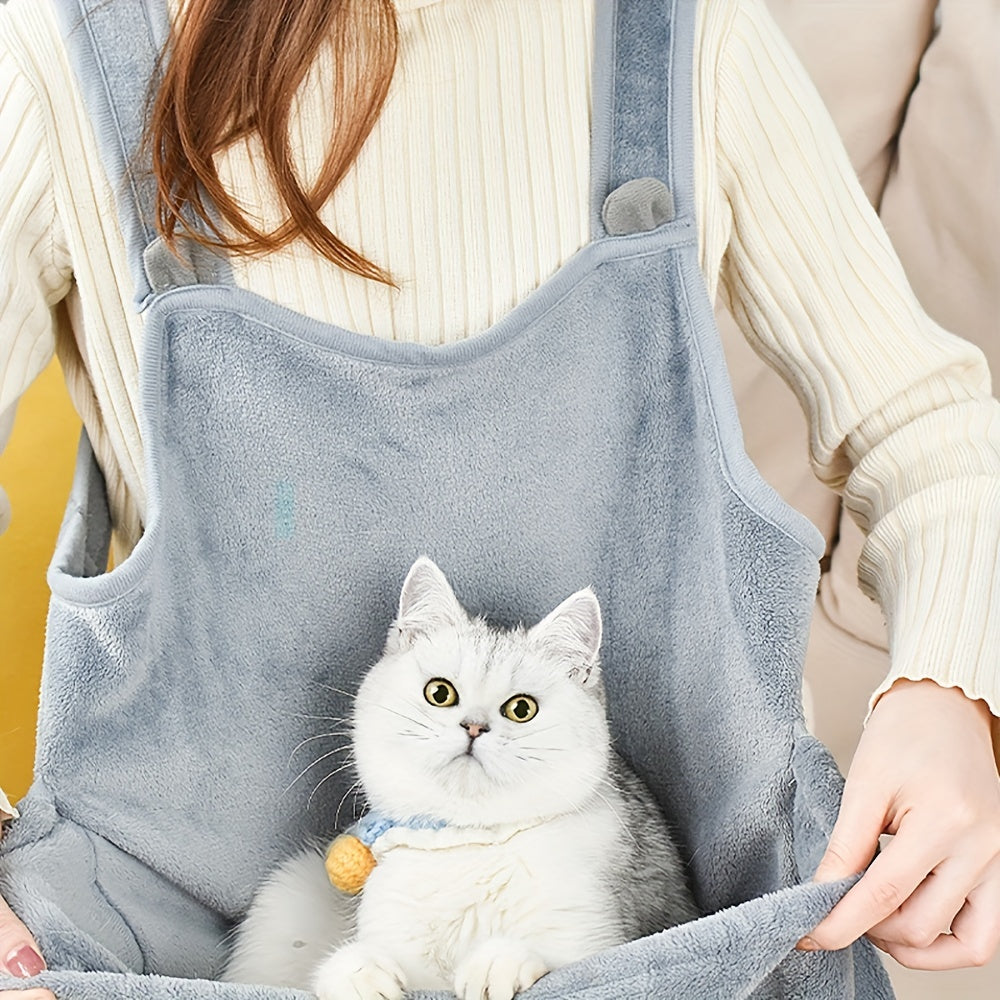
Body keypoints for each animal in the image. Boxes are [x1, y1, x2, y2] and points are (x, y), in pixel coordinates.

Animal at [224, 560, 700, 1000]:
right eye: (439, 693)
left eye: (521, 709)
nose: (473, 727)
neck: (469, 842)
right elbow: (354, 965)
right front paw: (360, 975)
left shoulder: (597, 937)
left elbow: (561, 961)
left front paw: (498, 964)